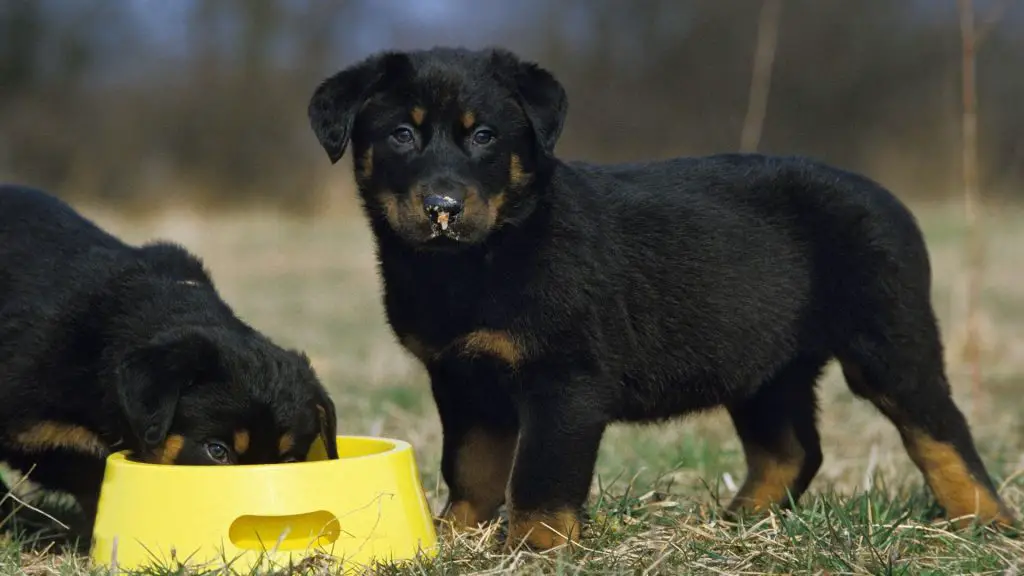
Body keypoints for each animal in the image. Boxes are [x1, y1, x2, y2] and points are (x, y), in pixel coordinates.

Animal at [305, 44, 1015, 545]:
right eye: (401, 134)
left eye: (484, 137)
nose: (444, 208)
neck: (473, 262)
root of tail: (888, 199)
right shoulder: (461, 377)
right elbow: (473, 467)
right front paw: (457, 536)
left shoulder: (565, 378)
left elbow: (540, 478)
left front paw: (533, 549)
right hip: (766, 363)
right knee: (792, 449)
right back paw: (736, 524)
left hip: (888, 340)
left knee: (941, 432)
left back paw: (986, 524)